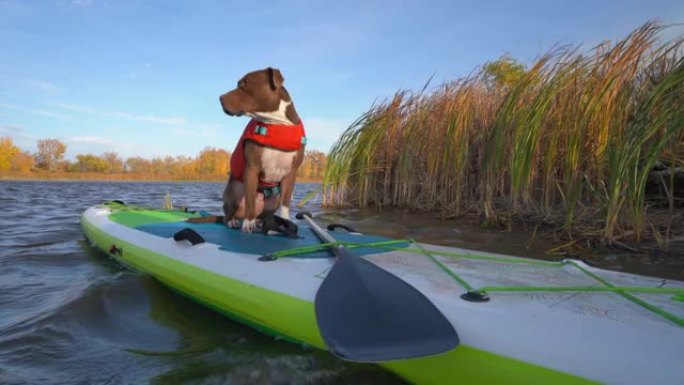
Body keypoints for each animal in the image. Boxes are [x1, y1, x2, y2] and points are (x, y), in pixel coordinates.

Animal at [188, 67, 304, 232]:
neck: (276, 123)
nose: (220, 98)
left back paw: (261, 222)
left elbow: (286, 202)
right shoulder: (252, 168)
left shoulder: (291, 173)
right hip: (233, 192)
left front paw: (286, 221)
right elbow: (250, 200)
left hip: (272, 200)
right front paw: (248, 224)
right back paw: (235, 221)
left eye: (244, 84)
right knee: (229, 214)